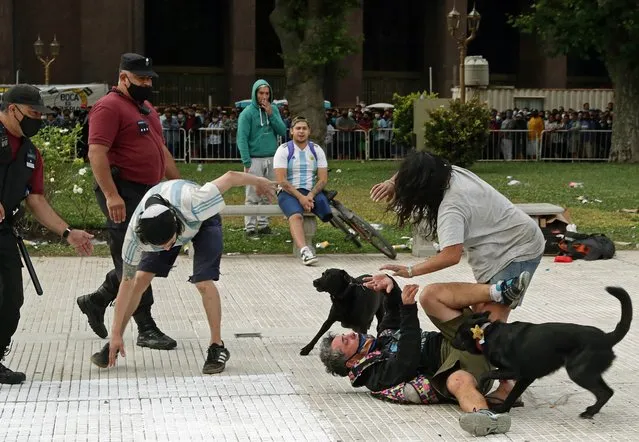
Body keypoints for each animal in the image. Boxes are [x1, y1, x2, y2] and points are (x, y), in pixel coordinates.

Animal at [452, 286, 632, 418]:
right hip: (588, 372)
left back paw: (590, 412)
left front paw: (489, 395)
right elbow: (513, 394)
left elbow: (488, 375)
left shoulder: (514, 371)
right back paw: (592, 410)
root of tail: (607, 338)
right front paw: (503, 409)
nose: (452, 340)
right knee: (607, 391)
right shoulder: (526, 378)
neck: (486, 332)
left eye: (458, 333)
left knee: (604, 393)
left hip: (579, 372)